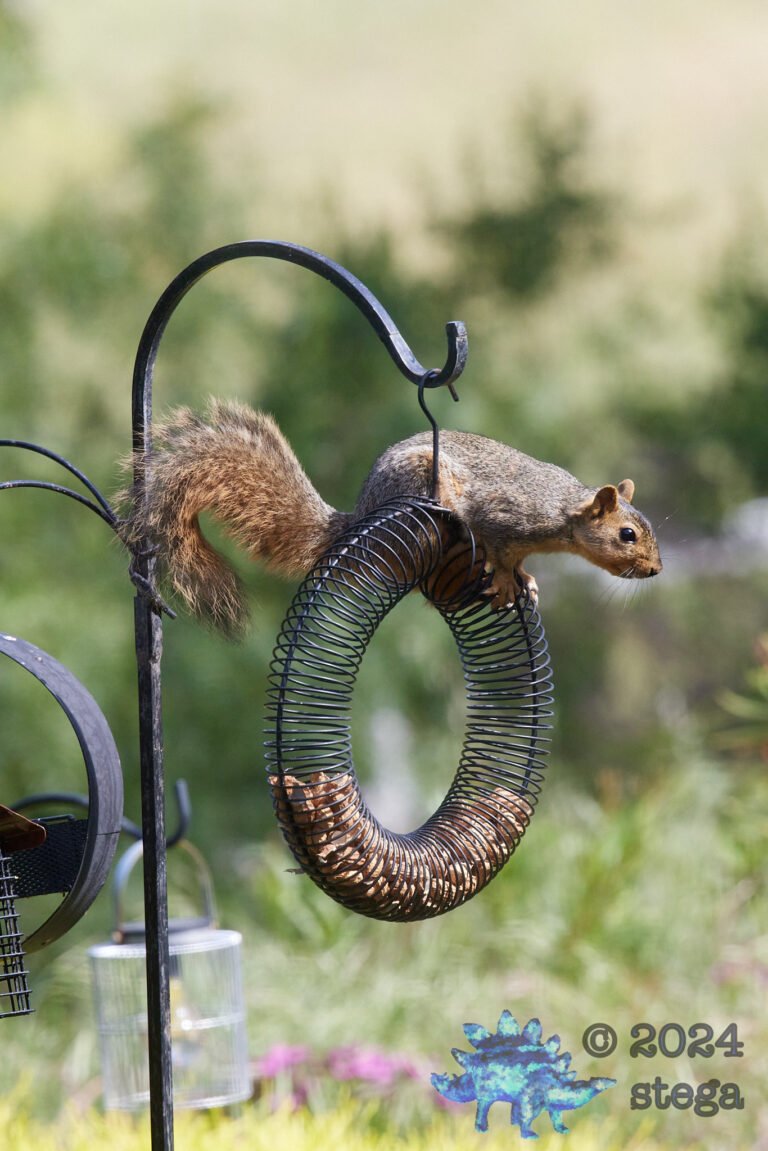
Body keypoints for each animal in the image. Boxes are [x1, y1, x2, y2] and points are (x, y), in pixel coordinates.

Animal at [123, 398, 662, 635]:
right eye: (627, 535)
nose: (656, 571)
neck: (563, 511)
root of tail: (365, 509)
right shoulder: (506, 518)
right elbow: (501, 550)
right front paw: (511, 581)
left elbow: (520, 561)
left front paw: (527, 580)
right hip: (423, 478)